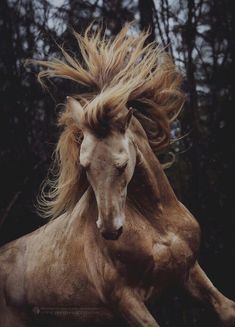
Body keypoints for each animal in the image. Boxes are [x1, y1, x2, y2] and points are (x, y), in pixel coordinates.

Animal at [0, 24, 235, 326]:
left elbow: (227, 310)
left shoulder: (189, 270)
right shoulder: (125, 300)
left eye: (122, 165)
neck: (156, 224)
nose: (110, 230)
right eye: (85, 166)